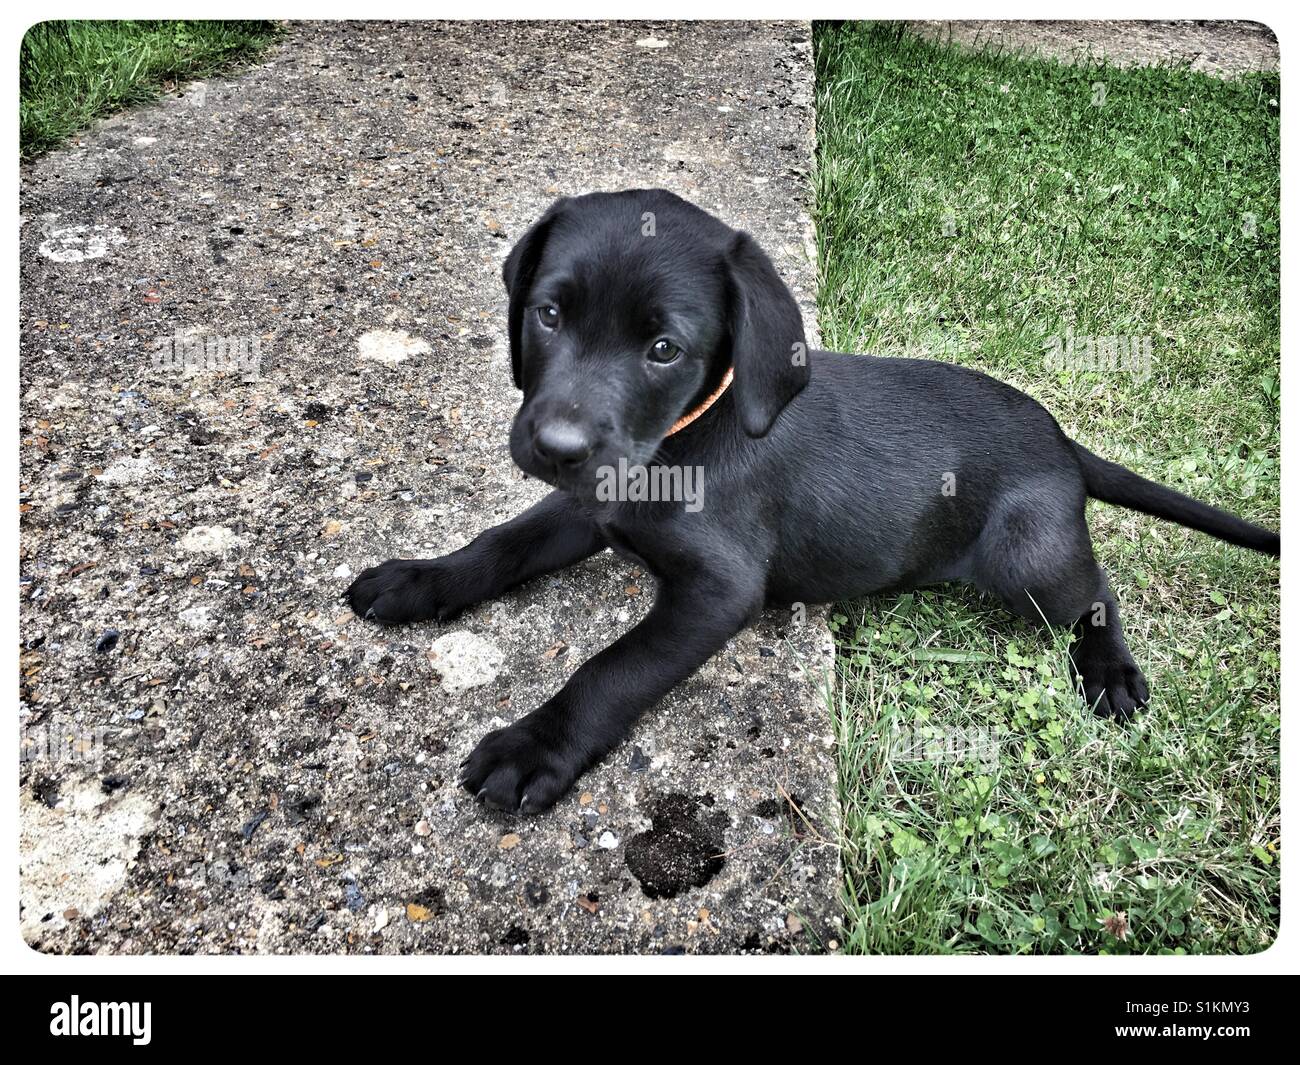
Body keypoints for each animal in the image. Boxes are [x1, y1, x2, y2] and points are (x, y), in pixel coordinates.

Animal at [345, 187, 1279, 811]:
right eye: (547, 314)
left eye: (662, 348)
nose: (557, 446)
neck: (682, 439)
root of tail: (1059, 438)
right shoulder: (589, 500)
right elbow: (500, 542)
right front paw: (421, 579)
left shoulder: (719, 590)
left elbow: (612, 669)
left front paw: (536, 745)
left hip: (1029, 556)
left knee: (1096, 590)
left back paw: (1111, 671)